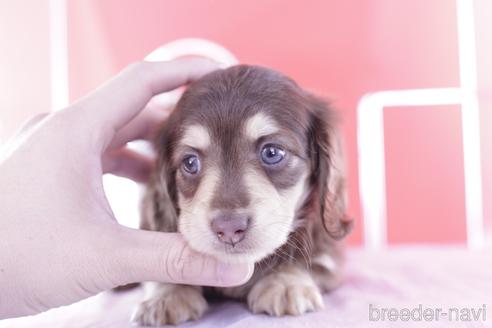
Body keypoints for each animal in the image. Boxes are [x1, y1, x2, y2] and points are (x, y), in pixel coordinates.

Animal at [133, 64, 352, 326]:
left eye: (272, 152)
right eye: (190, 162)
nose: (228, 228)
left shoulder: (328, 254)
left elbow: (307, 258)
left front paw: (286, 282)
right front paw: (167, 293)